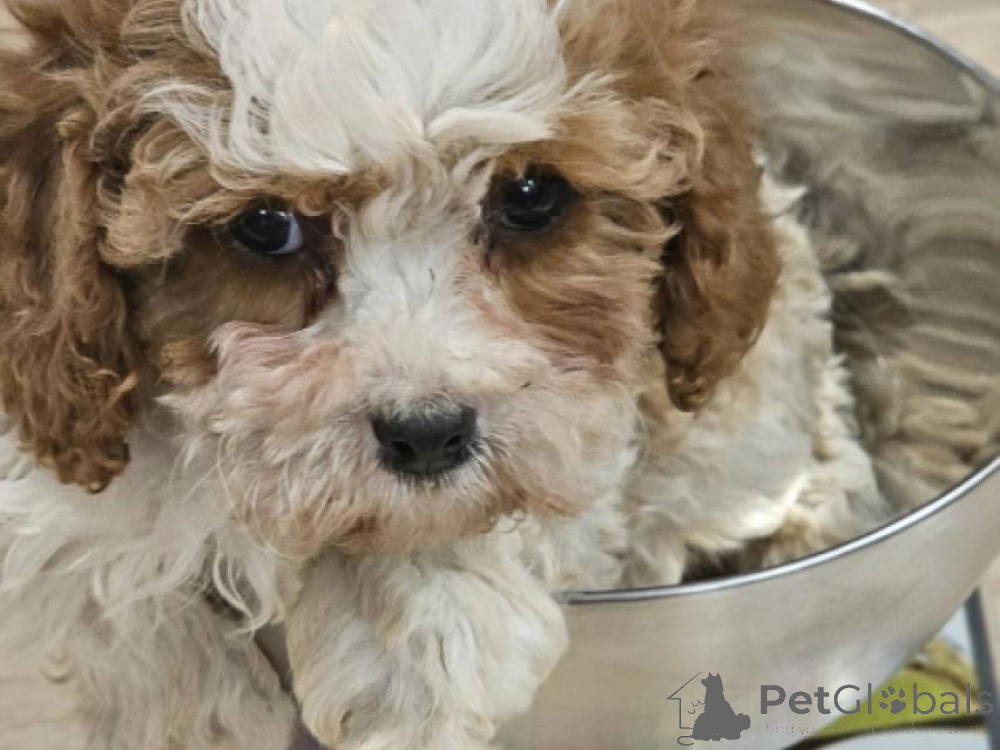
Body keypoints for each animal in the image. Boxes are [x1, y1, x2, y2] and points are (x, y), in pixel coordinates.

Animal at [0, 1, 886, 748]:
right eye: (265, 226)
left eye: (531, 195)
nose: (427, 436)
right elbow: (96, 569)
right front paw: (196, 716)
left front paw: (411, 663)